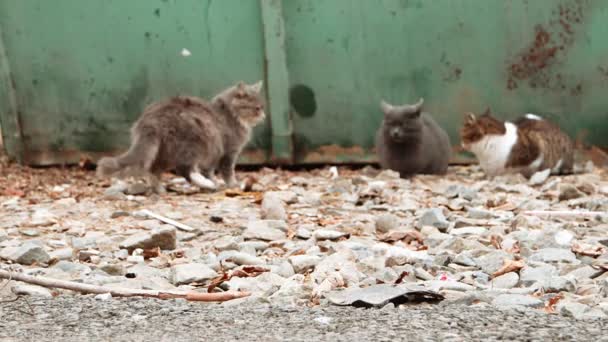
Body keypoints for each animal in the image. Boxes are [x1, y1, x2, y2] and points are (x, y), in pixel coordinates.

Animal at [97, 79, 264, 192]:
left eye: (262, 107)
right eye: (257, 108)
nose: (264, 115)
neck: (230, 113)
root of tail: (151, 119)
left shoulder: (214, 156)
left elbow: (209, 171)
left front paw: (216, 182)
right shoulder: (227, 152)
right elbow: (227, 172)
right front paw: (232, 185)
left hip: (164, 153)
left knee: (153, 170)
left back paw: (160, 190)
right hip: (195, 143)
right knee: (185, 169)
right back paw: (206, 184)